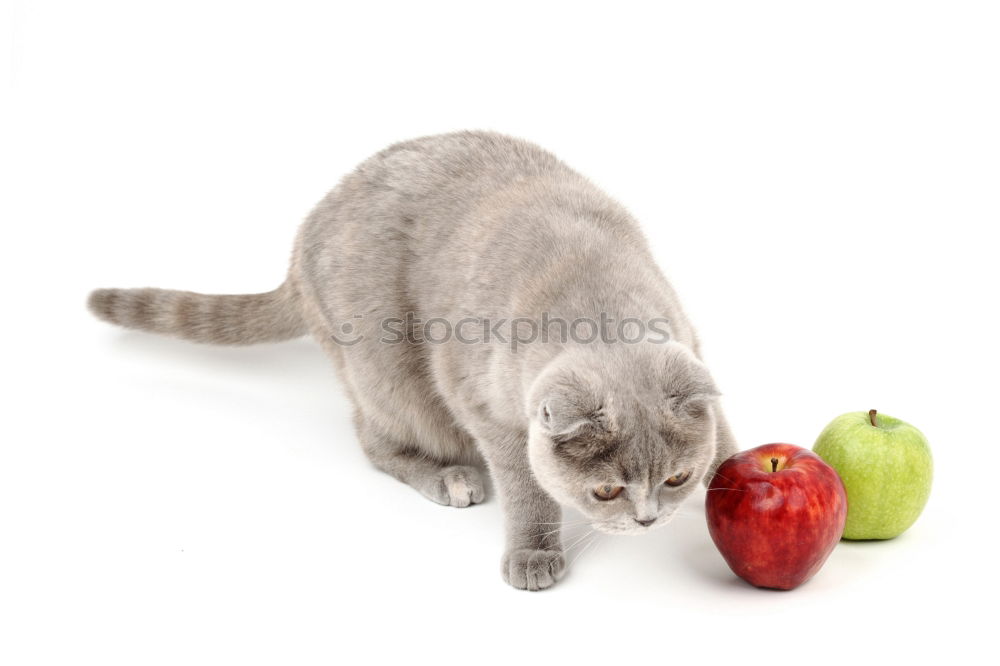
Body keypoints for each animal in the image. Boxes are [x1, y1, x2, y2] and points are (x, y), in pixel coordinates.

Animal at [90, 130, 740, 588]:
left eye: (677, 478)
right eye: (605, 491)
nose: (649, 520)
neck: (595, 302)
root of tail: (300, 243)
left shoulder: (688, 345)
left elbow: (726, 442)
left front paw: (730, 478)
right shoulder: (483, 404)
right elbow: (525, 483)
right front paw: (532, 552)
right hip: (388, 370)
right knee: (374, 438)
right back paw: (449, 477)